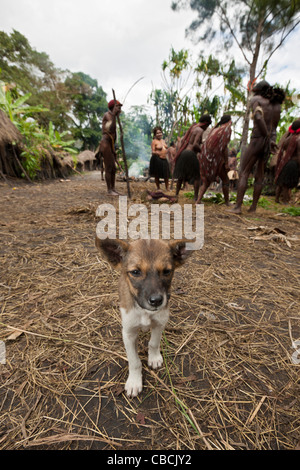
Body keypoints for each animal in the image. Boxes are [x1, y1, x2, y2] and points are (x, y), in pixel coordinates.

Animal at [95, 239, 191, 396]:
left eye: (167, 271)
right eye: (135, 272)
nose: (157, 300)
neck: (144, 311)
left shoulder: (159, 324)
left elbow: (153, 343)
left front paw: (154, 358)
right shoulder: (128, 333)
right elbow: (134, 361)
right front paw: (134, 381)